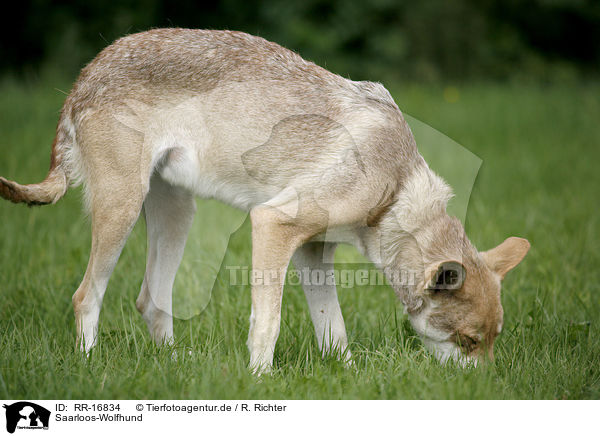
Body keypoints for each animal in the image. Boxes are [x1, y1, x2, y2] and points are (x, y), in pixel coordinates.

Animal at [0, 29, 528, 372]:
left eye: (491, 343)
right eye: (468, 341)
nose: (483, 390)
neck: (393, 187)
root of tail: (85, 75)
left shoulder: (314, 252)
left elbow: (335, 334)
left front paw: (348, 379)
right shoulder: (273, 225)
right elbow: (267, 324)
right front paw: (260, 381)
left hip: (177, 217)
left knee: (151, 301)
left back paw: (172, 363)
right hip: (122, 212)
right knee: (86, 296)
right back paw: (90, 368)